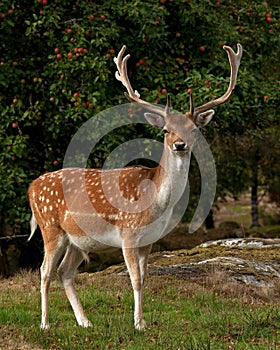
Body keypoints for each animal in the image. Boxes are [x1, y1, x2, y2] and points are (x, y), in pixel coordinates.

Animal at [29, 42, 243, 330]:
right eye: (165, 130)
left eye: (194, 130)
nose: (179, 144)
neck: (156, 204)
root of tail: (31, 187)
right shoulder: (128, 234)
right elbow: (135, 279)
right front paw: (138, 324)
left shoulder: (149, 240)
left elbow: (145, 277)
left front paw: (142, 321)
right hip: (50, 227)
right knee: (44, 271)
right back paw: (45, 324)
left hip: (78, 239)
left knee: (64, 271)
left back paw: (85, 322)